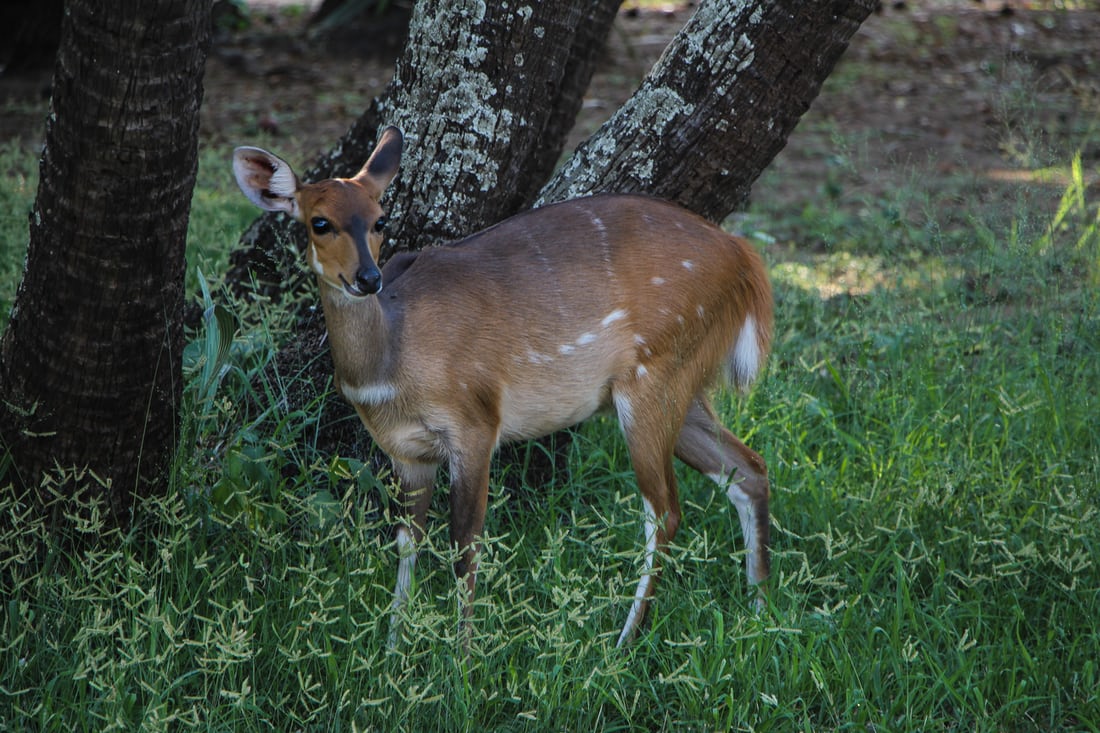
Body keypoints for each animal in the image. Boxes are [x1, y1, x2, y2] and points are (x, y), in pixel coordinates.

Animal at [229, 127, 774, 647]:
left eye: (380, 220)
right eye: (319, 222)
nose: (368, 278)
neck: (390, 367)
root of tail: (746, 260)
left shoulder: (474, 424)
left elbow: (465, 542)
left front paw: (461, 658)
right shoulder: (405, 452)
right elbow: (407, 538)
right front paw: (393, 646)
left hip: (653, 377)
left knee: (665, 510)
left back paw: (623, 642)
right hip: (681, 381)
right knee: (748, 468)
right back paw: (757, 609)